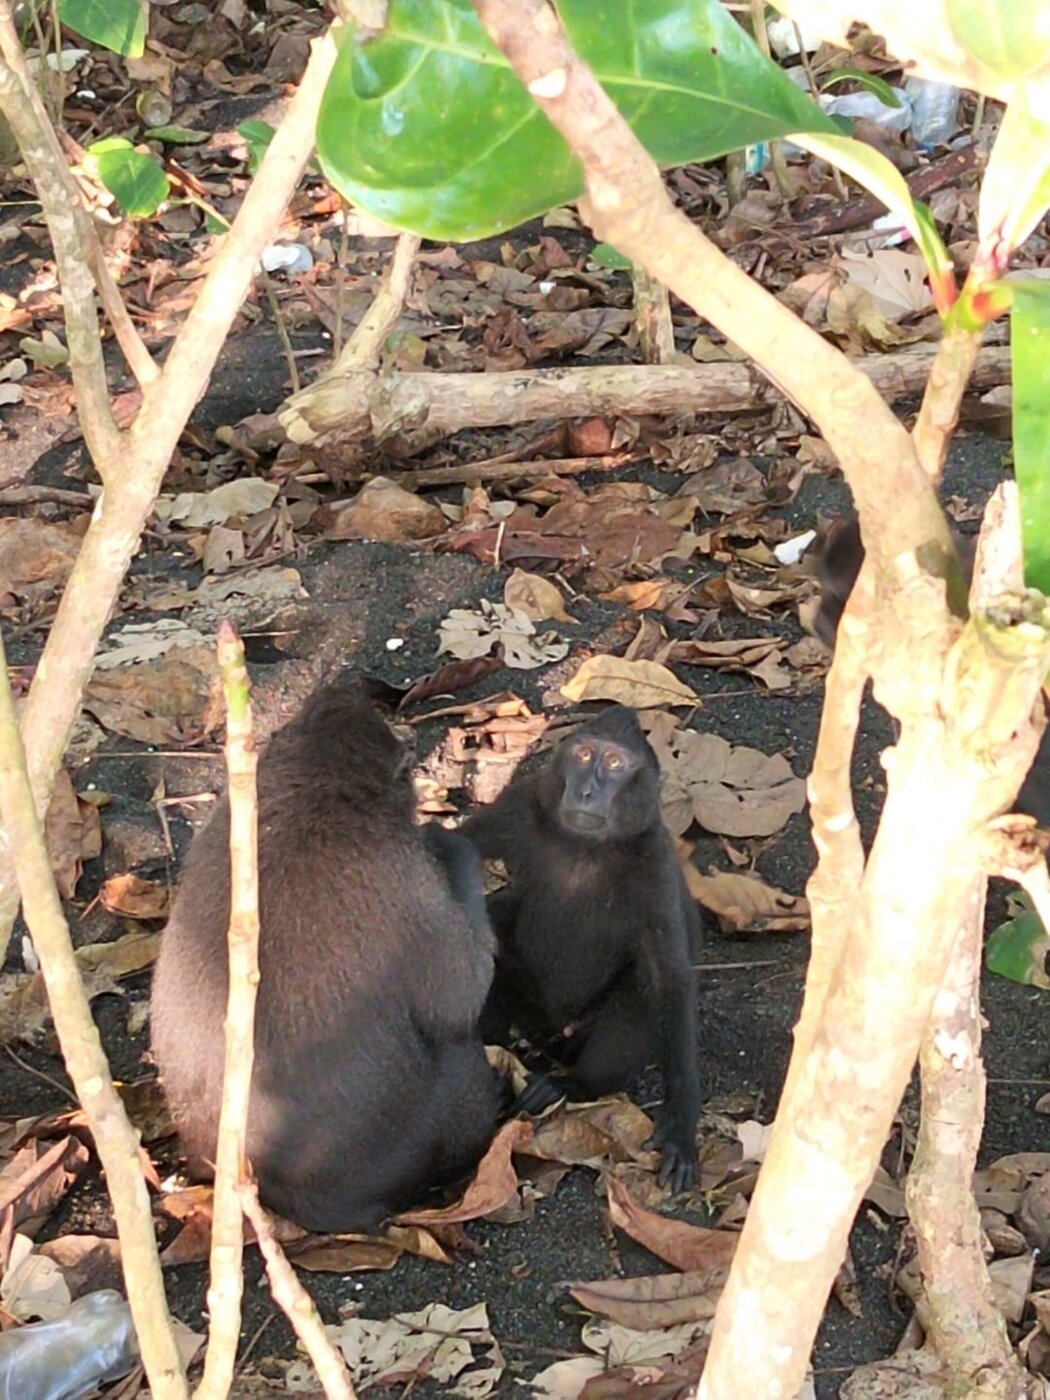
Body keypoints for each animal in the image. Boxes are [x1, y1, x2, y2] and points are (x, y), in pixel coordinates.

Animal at [461, 704, 701, 1194]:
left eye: (615, 763)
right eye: (584, 754)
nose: (587, 791)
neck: (585, 848)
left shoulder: (654, 862)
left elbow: (668, 979)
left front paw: (682, 1122)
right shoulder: (520, 807)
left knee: (638, 998)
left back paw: (568, 1086)